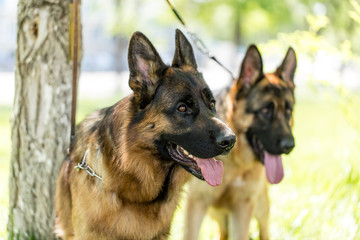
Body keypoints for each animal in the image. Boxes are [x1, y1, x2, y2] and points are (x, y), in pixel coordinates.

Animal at [184, 45, 296, 240]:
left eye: (288, 111)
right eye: (265, 110)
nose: (289, 146)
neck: (235, 161)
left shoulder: (243, 208)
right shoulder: (196, 204)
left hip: (260, 207)